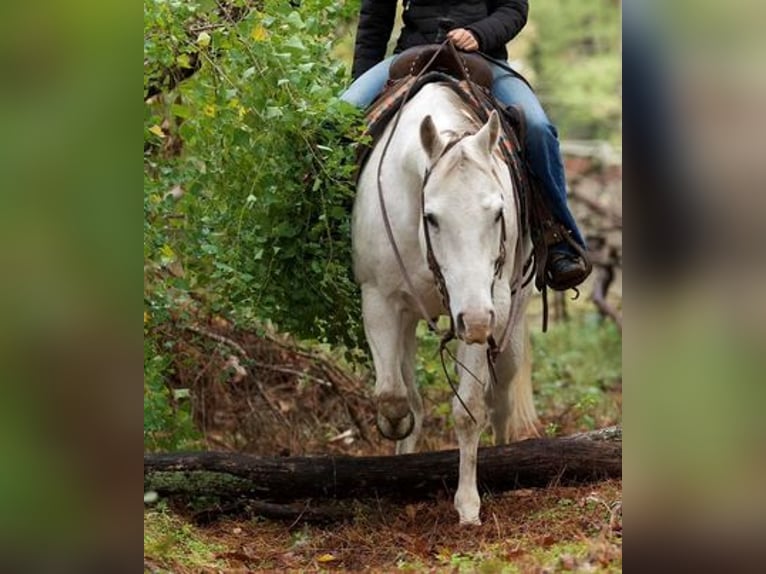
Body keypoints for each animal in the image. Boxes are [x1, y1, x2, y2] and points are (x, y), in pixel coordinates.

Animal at [354, 82, 540, 528]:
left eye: (498, 213)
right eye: (432, 217)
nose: (475, 321)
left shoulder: (487, 309)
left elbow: (468, 408)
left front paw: (468, 505)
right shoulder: (380, 302)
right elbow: (395, 396)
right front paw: (397, 435)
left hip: (510, 323)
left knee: (501, 398)